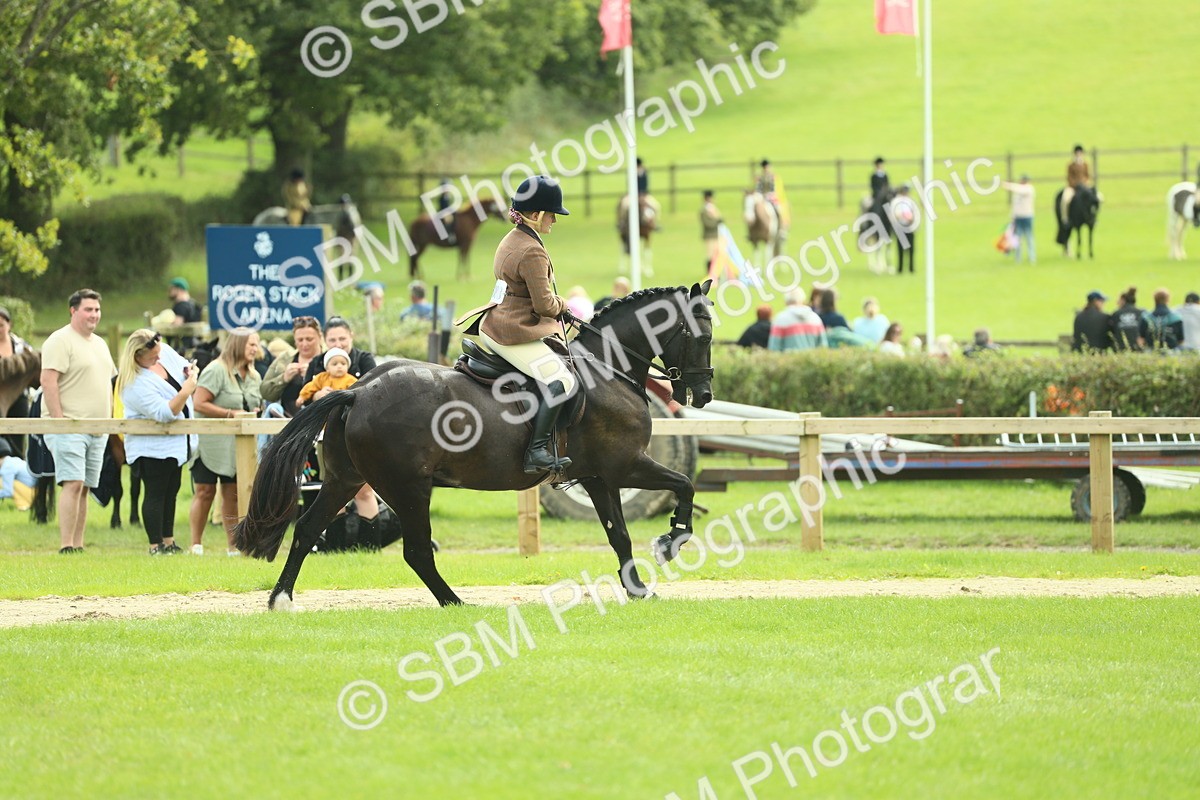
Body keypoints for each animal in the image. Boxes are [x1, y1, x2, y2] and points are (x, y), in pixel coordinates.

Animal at [234, 282, 716, 610]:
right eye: (705, 337)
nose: (704, 394)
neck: (607, 369)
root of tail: (358, 390)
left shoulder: (598, 476)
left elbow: (619, 535)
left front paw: (637, 589)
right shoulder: (626, 465)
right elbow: (684, 485)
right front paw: (671, 541)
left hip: (344, 479)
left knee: (307, 529)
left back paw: (281, 598)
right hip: (408, 488)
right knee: (416, 551)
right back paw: (455, 603)